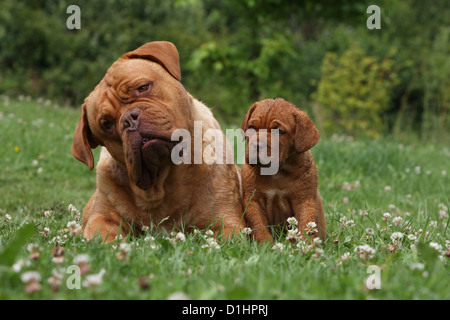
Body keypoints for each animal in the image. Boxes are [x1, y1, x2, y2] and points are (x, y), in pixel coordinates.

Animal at [71, 40, 244, 242]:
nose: (129, 120)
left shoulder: (227, 224)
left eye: (143, 87)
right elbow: (103, 237)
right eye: (106, 124)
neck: (162, 180)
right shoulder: (102, 219)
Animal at [241, 97, 326, 242]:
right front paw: (266, 245)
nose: (257, 145)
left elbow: (306, 225)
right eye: (251, 127)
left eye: (279, 131)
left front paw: (306, 245)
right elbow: (260, 227)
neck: (277, 172)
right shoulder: (253, 201)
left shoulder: (305, 200)